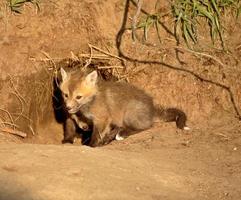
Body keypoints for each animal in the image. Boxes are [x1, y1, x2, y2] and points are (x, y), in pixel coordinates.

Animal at [59, 67, 189, 147]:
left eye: (78, 97)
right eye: (65, 95)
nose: (68, 107)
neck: (91, 101)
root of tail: (152, 107)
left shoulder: (102, 119)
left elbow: (96, 135)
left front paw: (92, 145)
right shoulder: (104, 121)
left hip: (129, 114)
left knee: (146, 127)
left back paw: (122, 135)